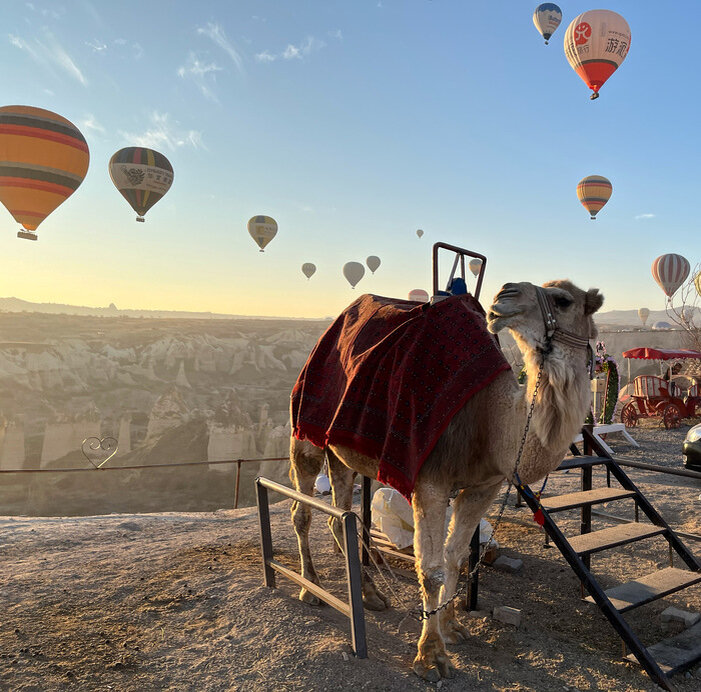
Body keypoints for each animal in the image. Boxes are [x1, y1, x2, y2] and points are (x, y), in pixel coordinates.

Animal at [288, 280, 600, 680]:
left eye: (563, 300)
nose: (505, 294)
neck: (491, 420)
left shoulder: (483, 487)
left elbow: (455, 557)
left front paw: (452, 628)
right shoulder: (429, 483)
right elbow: (432, 569)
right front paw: (431, 655)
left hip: (341, 452)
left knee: (340, 516)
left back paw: (370, 595)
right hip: (305, 429)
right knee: (302, 510)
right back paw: (311, 588)